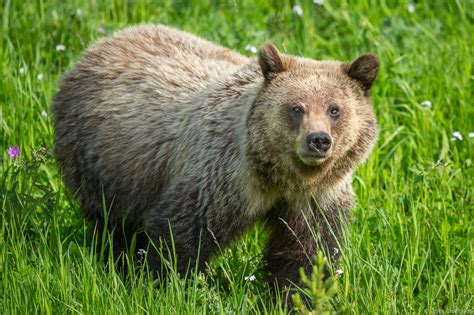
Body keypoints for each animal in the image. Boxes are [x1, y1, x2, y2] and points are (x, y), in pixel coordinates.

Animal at [51, 24, 378, 294]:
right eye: (296, 108)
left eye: (334, 109)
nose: (318, 140)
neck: (280, 177)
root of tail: (99, 45)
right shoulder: (224, 177)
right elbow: (181, 232)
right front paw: (169, 284)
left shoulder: (315, 199)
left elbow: (306, 253)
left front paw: (293, 296)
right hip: (106, 162)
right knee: (112, 223)